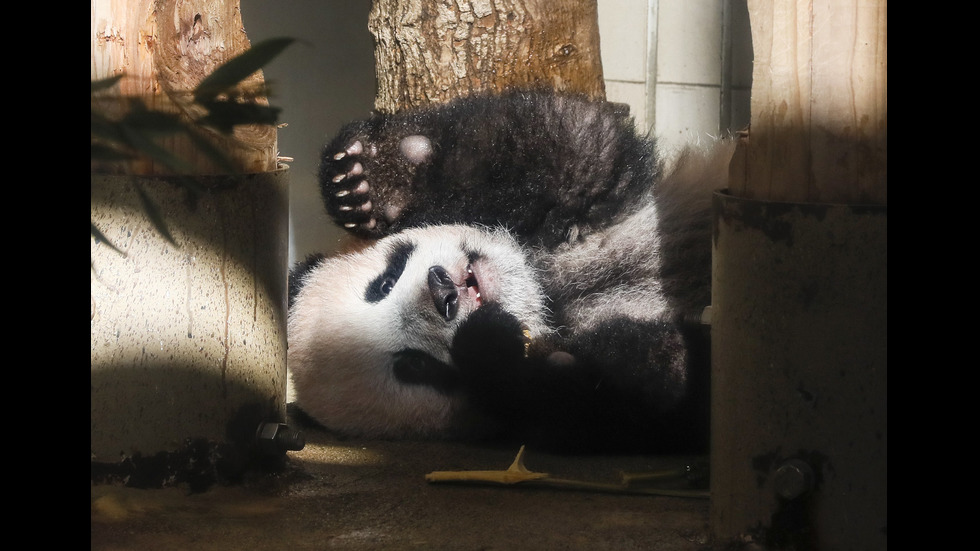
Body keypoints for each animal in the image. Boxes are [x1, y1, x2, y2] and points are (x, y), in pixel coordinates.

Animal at [288, 89, 732, 452]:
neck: (551, 291)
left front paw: (370, 179)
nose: (445, 294)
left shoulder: (611, 197)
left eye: (384, 282)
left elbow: (569, 142)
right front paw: (492, 345)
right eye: (413, 367)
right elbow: (637, 403)